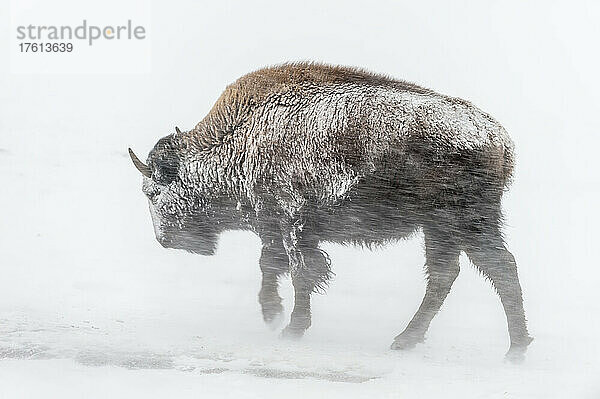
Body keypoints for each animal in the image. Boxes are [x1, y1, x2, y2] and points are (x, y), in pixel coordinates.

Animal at [129, 63, 532, 362]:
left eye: (152, 191)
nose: (164, 240)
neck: (241, 138)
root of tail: (500, 140)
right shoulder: (273, 227)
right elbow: (270, 265)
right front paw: (273, 315)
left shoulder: (293, 223)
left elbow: (300, 273)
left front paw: (290, 328)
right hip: (440, 229)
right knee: (447, 275)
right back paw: (407, 340)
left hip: (463, 222)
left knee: (498, 268)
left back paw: (514, 350)